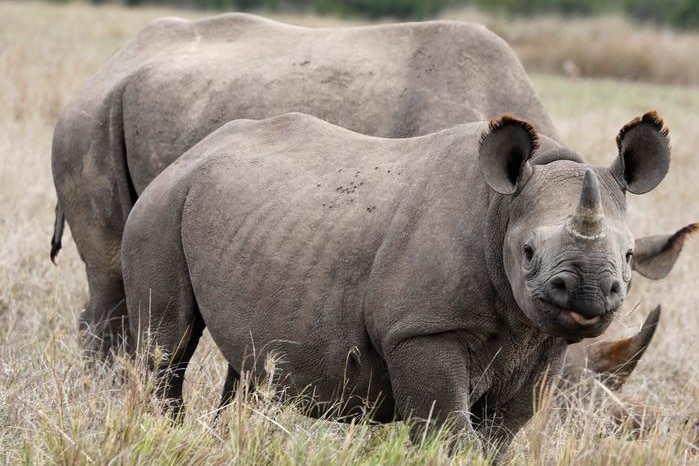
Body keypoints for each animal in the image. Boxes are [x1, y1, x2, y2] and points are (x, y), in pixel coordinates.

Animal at [120, 110, 672, 456]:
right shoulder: (422, 330)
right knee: (167, 347)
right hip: (160, 207)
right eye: (529, 253)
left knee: (251, 365)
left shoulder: (541, 344)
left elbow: (499, 436)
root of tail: (189, 154)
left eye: (628, 256)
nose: (589, 295)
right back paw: (161, 427)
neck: (503, 209)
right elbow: (448, 432)